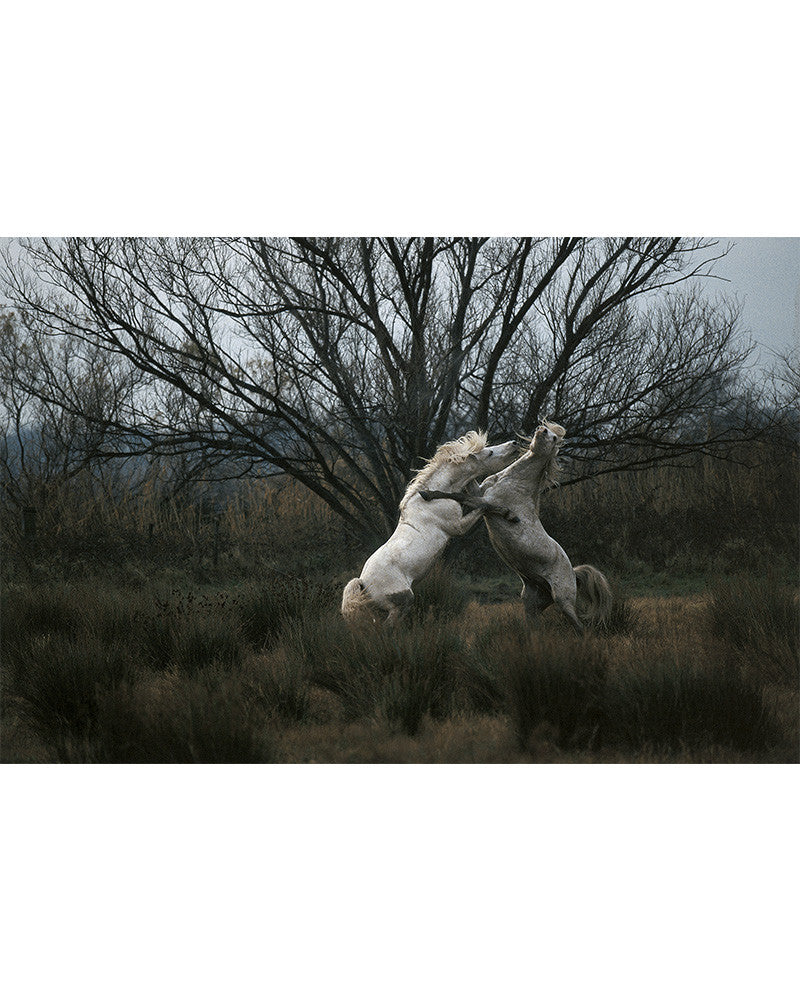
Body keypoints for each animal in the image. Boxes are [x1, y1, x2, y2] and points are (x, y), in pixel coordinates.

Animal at [341, 431, 520, 623]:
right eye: (490, 453)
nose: (514, 444)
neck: (428, 500)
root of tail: (363, 583)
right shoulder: (458, 526)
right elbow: (484, 505)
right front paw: (510, 515)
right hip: (402, 603)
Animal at [419, 421, 612, 634]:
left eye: (554, 437)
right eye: (549, 430)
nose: (542, 430)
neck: (515, 482)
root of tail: (574, 574)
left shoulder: (486, 501)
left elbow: (460, 496)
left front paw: (427, 493)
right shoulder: (480, 493)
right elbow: (468, 486)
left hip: (563, 601)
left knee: (581, 628)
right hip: (532, 603)